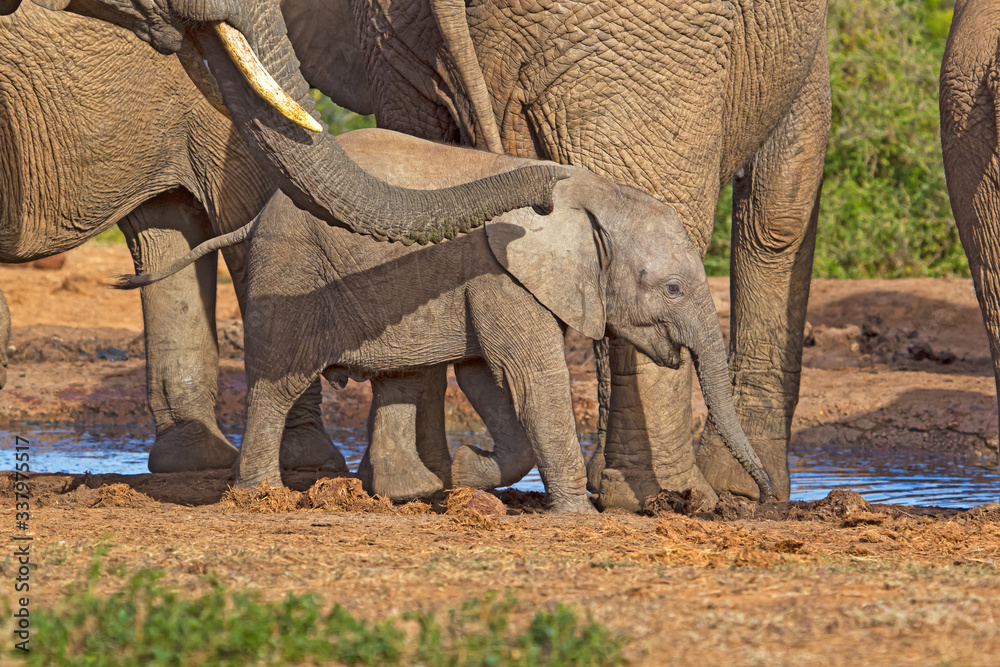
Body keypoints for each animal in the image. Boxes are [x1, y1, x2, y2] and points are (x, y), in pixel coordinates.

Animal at [117, 128, 778, 512]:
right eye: (671, 288)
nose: (767, 498)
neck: (596, 198)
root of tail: (258, 216)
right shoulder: (500, 273)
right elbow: (528, 378)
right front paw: (577, 515)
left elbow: (487, 377)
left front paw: (466, 466)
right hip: (293, 271)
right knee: (279, 380)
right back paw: (259, 496)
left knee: (401, 378)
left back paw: (412, 493)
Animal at [344, 0, 832, 508]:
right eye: (673, 290)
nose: (765, 494)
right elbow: (781, 210)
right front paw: (742, 487)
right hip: (644, 48)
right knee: (669, 200)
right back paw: (670, 495)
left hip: (399, 47)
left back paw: (418, 484)